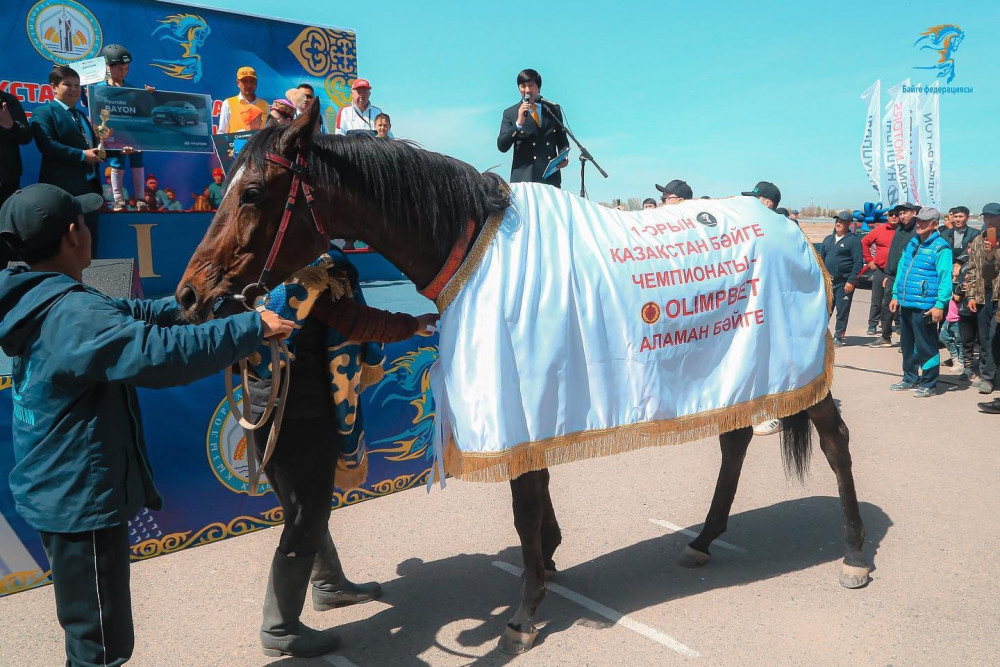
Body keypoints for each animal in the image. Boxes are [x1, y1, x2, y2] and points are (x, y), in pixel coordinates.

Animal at [178, 102, 868, 656]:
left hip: (799, 367)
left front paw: (525, 610)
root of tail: (788, 226)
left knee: (834, 441)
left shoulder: (521, 398)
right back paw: (703, 537)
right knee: (734, 440)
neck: (472, 242)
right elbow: (534, 499)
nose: (191, 294)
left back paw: (855, 553)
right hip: (744, 369)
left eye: (253, 191)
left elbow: (524, 506)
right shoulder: (531, 410)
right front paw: (550, 563)